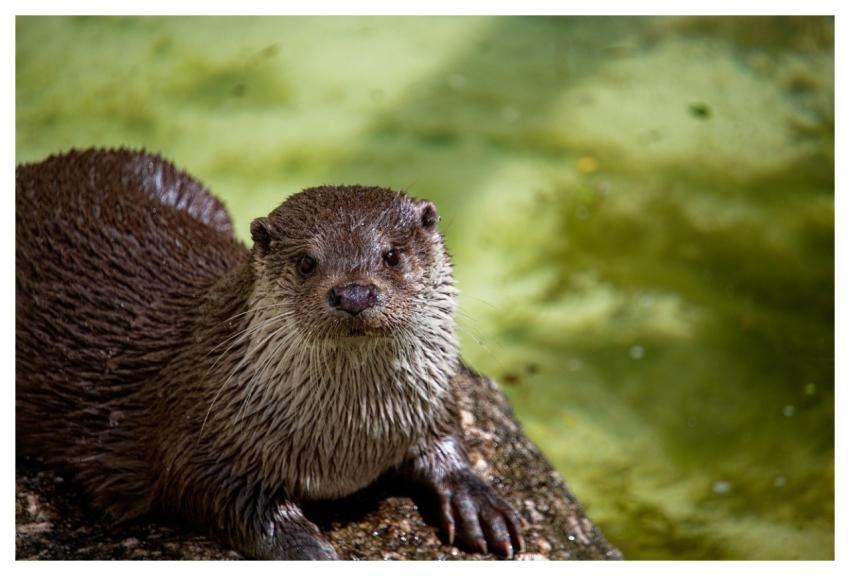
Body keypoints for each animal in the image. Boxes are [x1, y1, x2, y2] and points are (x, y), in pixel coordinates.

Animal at [16, 149, 524, 560]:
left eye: (392, 255)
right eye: (307, 262)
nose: (354, 293)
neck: (350, 442)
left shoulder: (429, 398)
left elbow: (447, 434)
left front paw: (478, 501)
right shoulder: (199, 430)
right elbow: (224, 497)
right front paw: (311, 550)